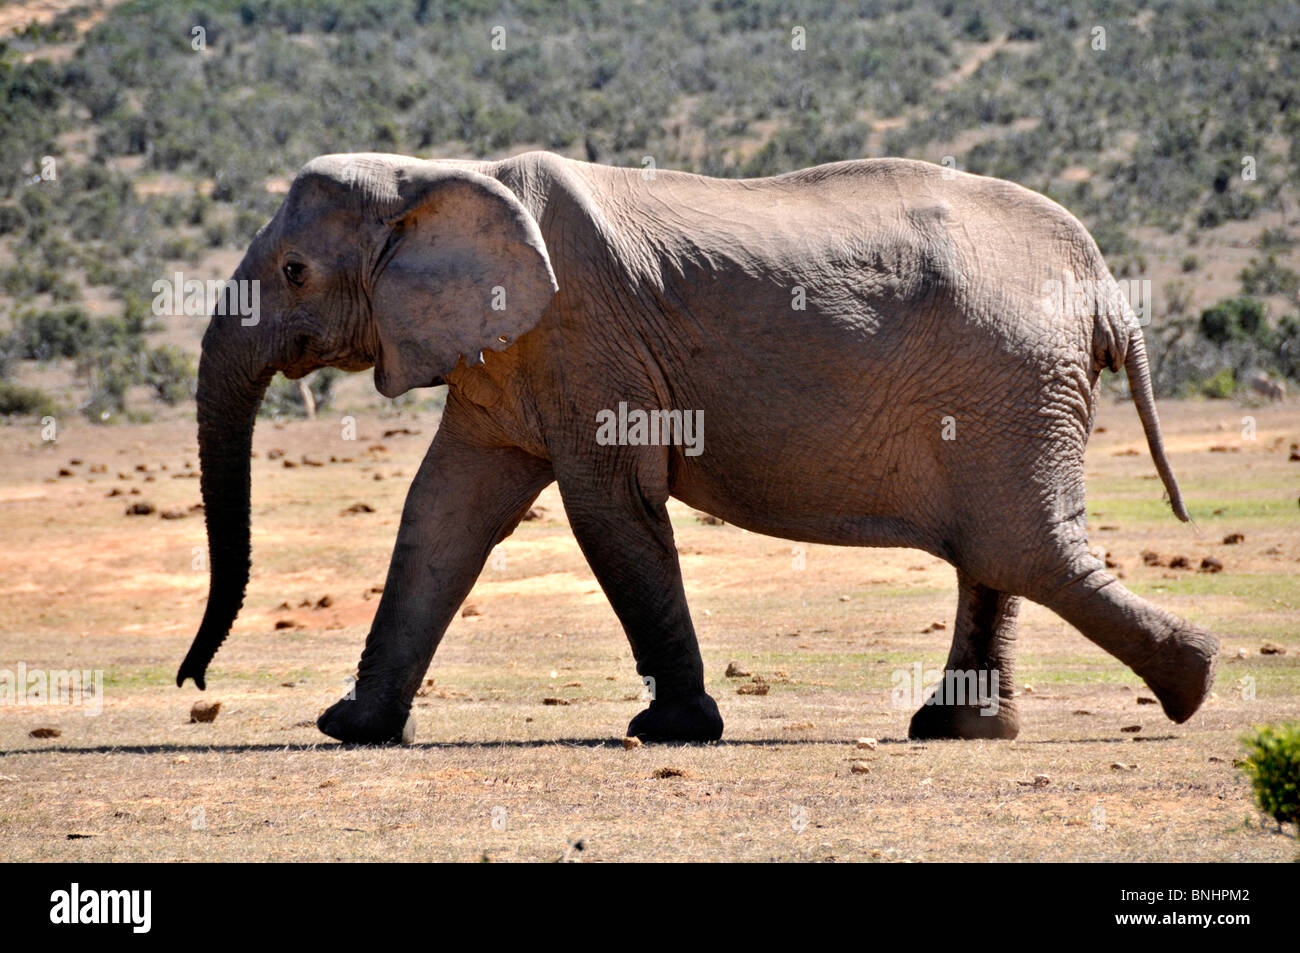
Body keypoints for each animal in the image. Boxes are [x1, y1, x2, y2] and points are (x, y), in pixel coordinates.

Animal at [178, 148, 1222, 743]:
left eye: (295, 271)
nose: (193, 682)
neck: (432, 172)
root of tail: (1104, 284)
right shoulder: (509, 356)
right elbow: (443, 513)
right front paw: (350, 728)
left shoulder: (579, 335)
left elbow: (607, 508)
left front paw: (671, 730)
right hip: (1011, 387)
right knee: (1000, 548)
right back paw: (957, 730)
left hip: (1012, 377)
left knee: (1020, 544)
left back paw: (1194, 683)